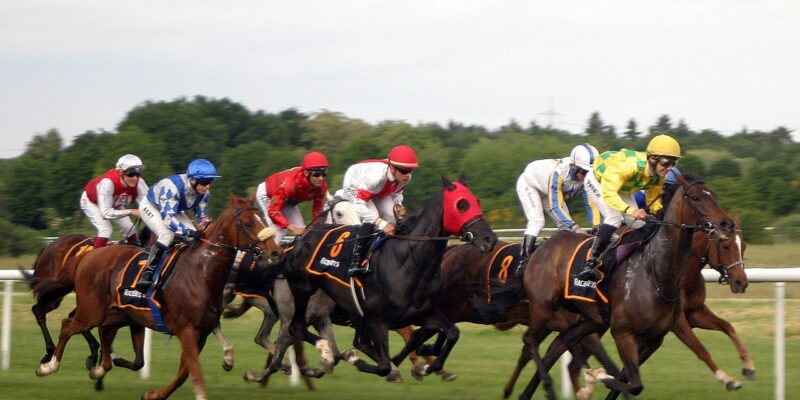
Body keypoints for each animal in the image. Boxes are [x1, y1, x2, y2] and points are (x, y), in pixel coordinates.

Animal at [34, 192, 284, 398]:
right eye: (248, 222)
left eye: (263, 219)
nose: (276, 252)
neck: (200, 272)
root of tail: (87, 257)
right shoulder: (187, 331)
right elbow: (194, 373)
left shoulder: (200, 333)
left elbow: (183, 373)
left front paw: (153, 394)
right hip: (91, 311)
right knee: (66, 324)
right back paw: (49, 364)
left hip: (117, 315)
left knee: (102, 335)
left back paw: (97, 368)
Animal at [278, 177, 496, 380]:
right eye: (461, 205)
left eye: (476, 201)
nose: (490, 239)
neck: (409, 261)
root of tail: (300, 241)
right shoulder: (377, 320)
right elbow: (383, 364)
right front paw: (359, 360)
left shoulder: (423, 312)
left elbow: (450, 332)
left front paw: (429, 366)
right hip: (303, 291)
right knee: (295, 329)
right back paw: (320, 359)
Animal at [520, 173, 736, 398]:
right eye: (695, 198)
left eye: (714, 195)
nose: (726, 224)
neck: (655, 275)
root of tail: (542, 246)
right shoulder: (624, 334)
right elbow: (633, 384)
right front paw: (600, 376)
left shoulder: (654, 339)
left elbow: (628, 381)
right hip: (543, 306)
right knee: (530, 341)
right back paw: (551, 385)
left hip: (591, 318)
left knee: (564, 339)